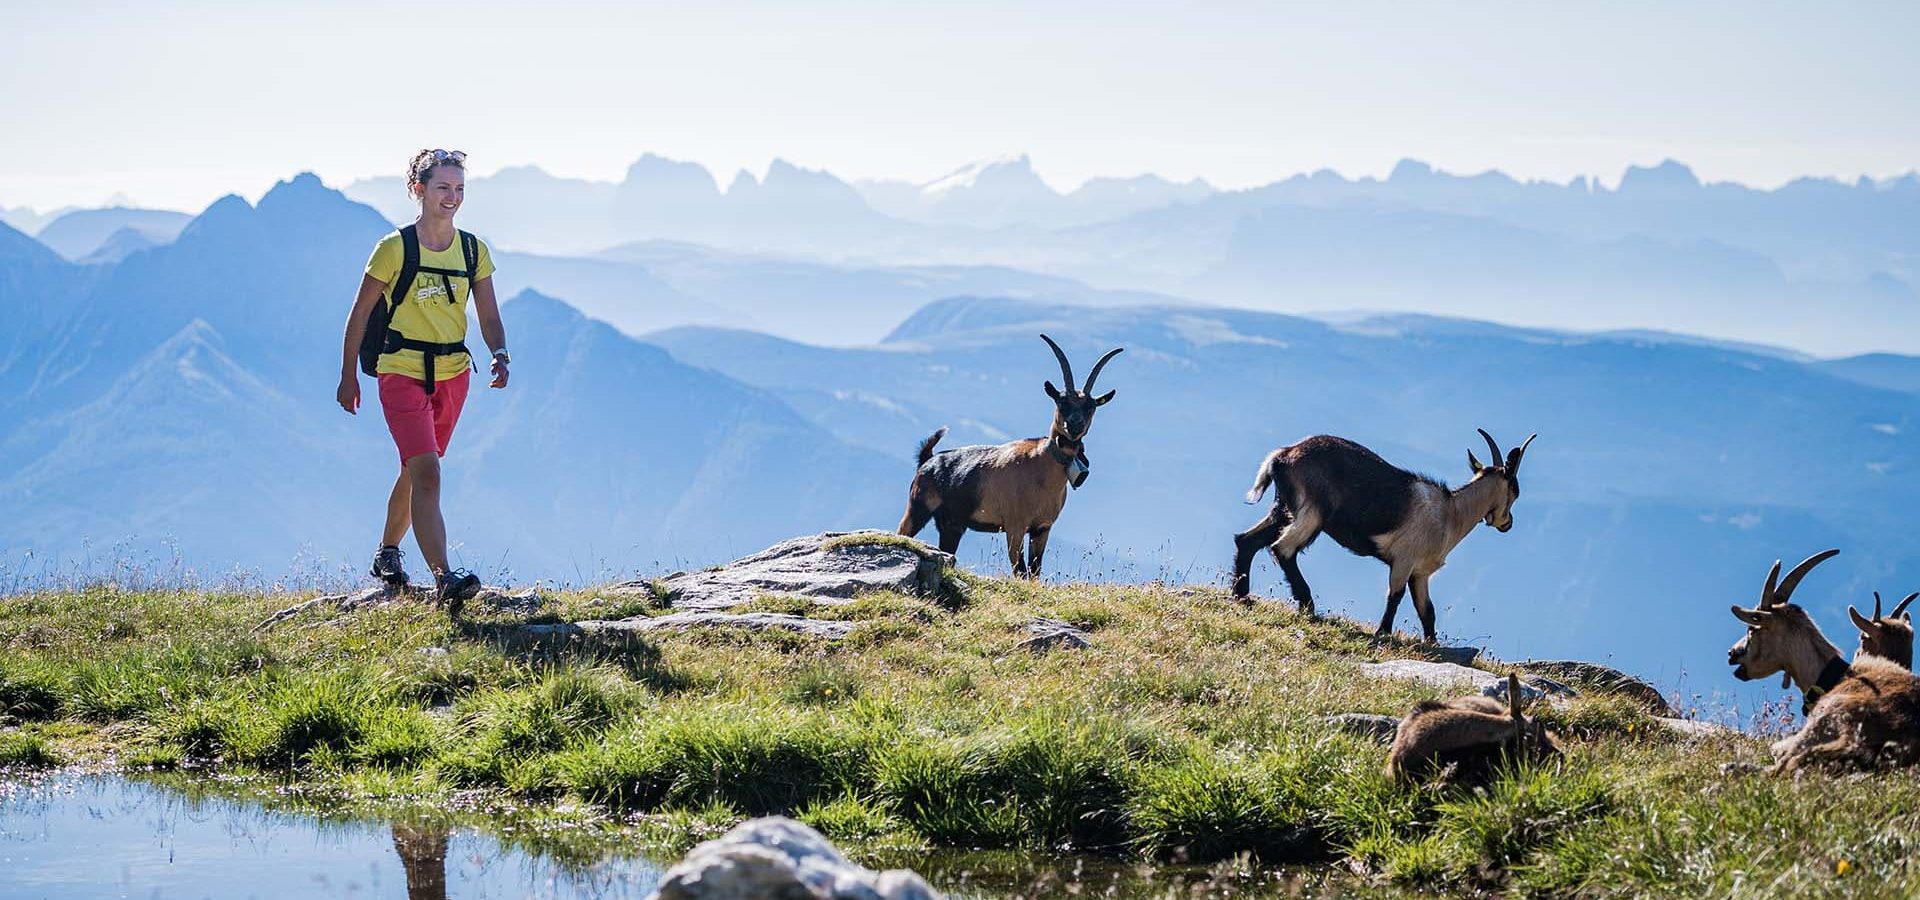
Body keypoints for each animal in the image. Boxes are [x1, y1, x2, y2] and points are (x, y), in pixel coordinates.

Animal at [890, 335, 1121, 575]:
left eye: (1091, 406)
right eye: (1061, 400)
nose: (1075, 426)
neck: (1041, 467)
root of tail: (927, 460)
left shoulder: (1042, 528)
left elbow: (1035, 571)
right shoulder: (1015, 525)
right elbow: (1020, 570)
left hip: (952, 524)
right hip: (918, 508)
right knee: (902, 532)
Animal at [1236, 427, 1536, 637]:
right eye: (1515, 490)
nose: (1507, 523)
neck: (1450, 513)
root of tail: (1282, 455)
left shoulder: (1420, 572)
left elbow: (1427, 611)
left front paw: (1431, 644)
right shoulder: (1404, 559)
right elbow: (1395, 595)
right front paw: (1383, 633)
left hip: (1285, 509)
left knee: (1247, 540)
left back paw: (1241, 595)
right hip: (1312, 512)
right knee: (1283, 548)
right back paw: (1307, 605)